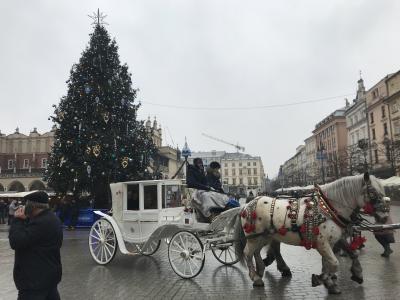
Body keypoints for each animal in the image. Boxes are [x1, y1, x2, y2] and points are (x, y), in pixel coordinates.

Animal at [233, 172, 390, 294]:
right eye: (372, 193)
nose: (384, 216)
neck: (329, 209)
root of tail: (246, 205)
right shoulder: (322, 243)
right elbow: (334, 263)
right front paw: (323, 280)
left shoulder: (330, 242)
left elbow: (334, 261)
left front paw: (333, 282)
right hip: (254, 238)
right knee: (248, 253)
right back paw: (256, 278)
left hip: (264, 236)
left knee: (258, 252)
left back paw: (262, 269)